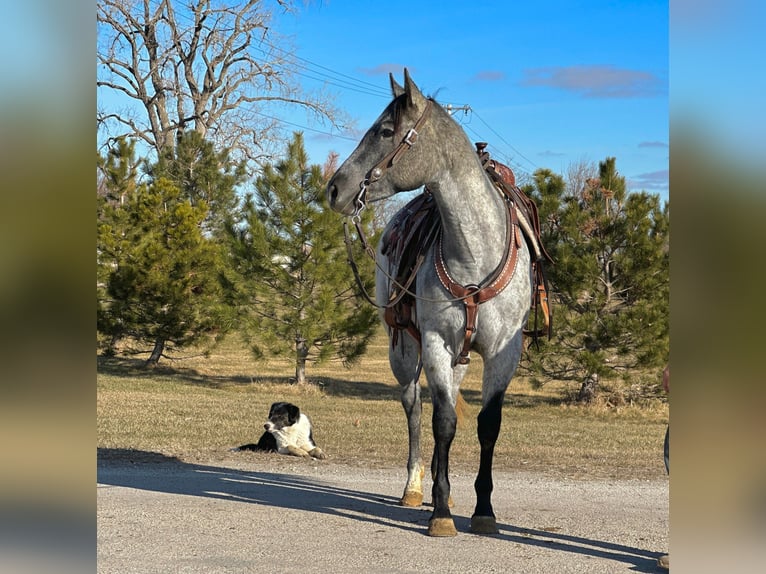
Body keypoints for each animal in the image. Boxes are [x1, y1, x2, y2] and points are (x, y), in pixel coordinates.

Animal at [326, 70, 536, 536]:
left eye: (386, 131)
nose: (333, 188)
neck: (475, 254)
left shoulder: (503, 353)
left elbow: (486, 426)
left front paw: (483, 510)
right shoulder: (437, 343)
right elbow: (441, 422)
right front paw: (440, 512)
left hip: (458, 359)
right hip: (404, 350)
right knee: (416, 410)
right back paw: (415, 488)